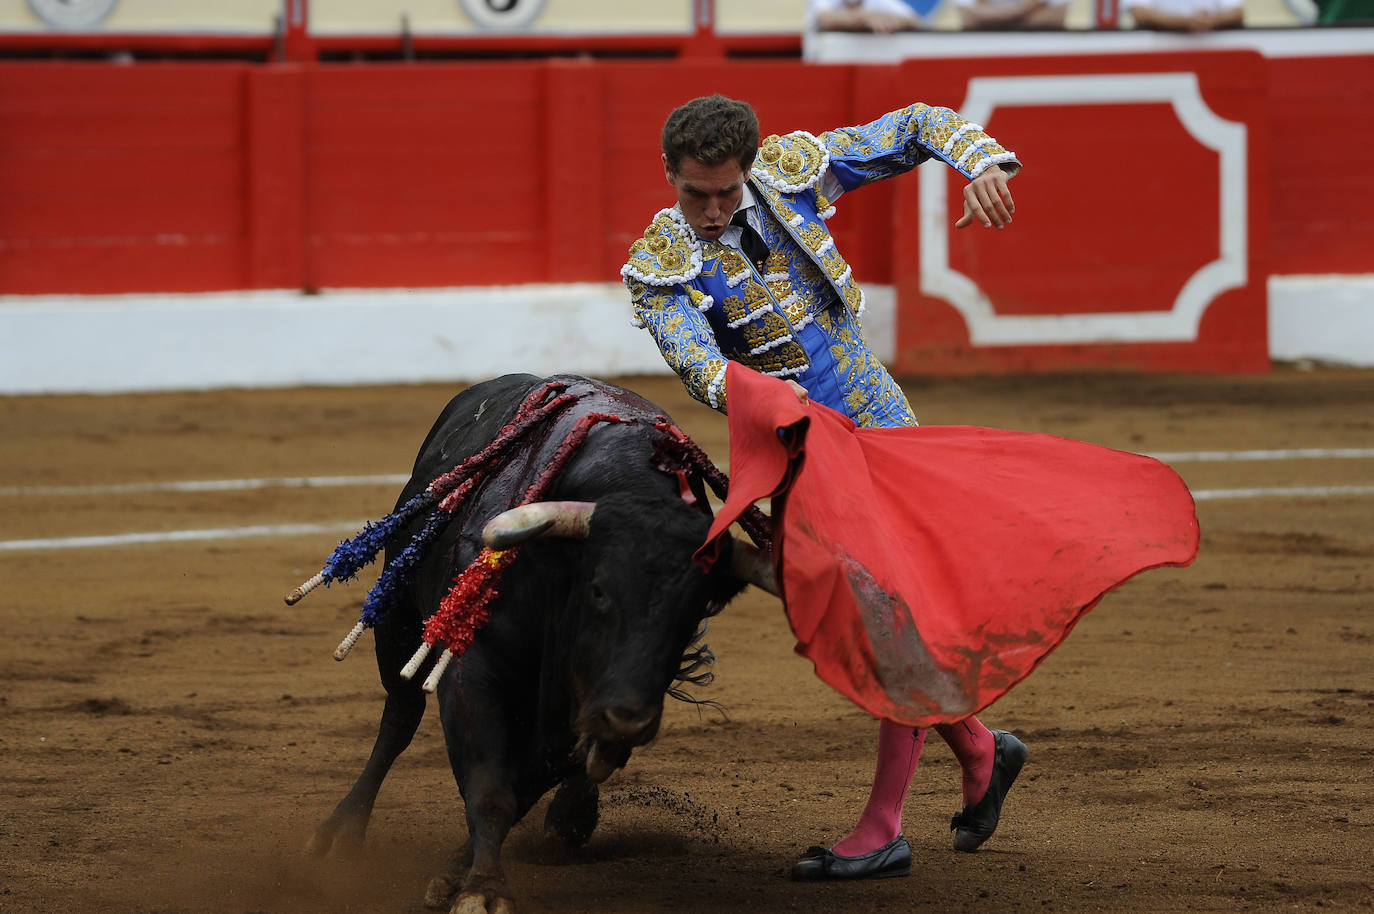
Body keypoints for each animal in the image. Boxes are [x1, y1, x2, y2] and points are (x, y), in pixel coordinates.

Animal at [298, 373, 774, 912]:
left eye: (695, 609)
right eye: (598, 590)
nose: (628, 719)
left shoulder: (583, 709)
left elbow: (526, 782)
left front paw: (462, 873)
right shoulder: (472, 672)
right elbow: (490, 786)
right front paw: (482, 889)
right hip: (397, 620)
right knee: (398, 719)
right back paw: (339, 836)